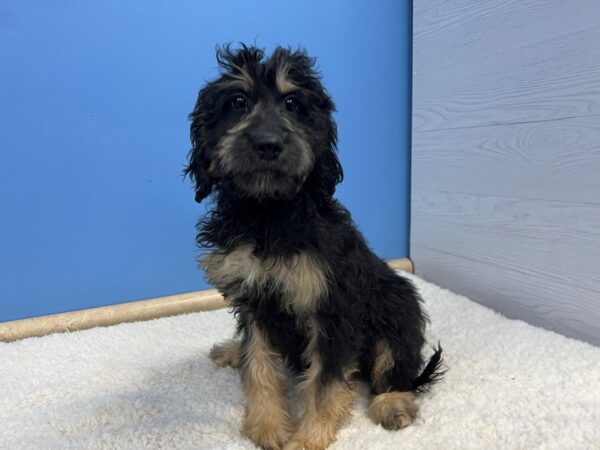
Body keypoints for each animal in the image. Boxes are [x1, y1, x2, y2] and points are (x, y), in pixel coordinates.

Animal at [185, 43, 442, 450]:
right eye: (237, 101)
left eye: (293, 103)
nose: (268, 144)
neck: (270, 214)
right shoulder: (256, 299)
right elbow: (258, 363)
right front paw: (267, 427)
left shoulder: (332, 308)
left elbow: (324, 382)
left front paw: (308, 438)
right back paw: (231, 350)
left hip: (397, 304)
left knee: (395, 366)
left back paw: (393, 403)